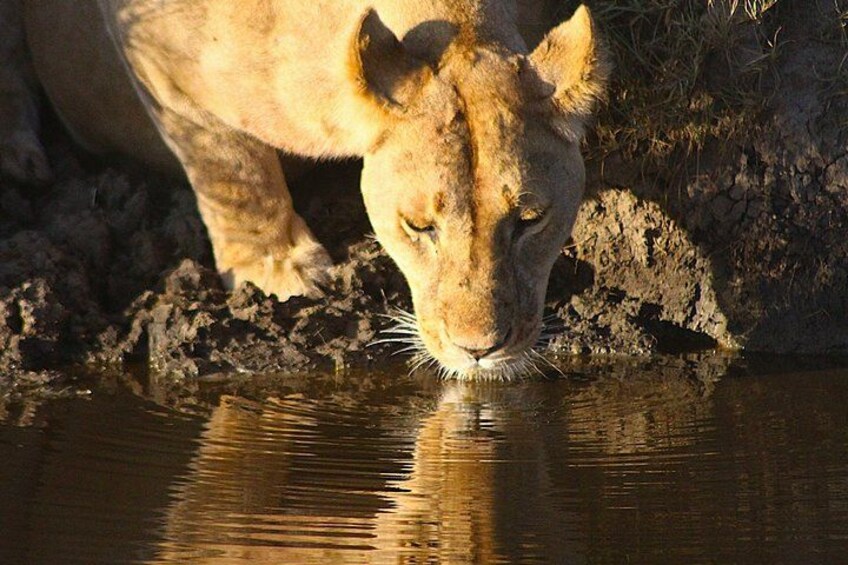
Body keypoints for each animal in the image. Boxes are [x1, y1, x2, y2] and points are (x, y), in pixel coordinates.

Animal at [3, 0, 609, 378]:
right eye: (419, 226)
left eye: (530, 220)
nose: (480, 350)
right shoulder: (155, 59)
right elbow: (229, 163)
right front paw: (281, 272)